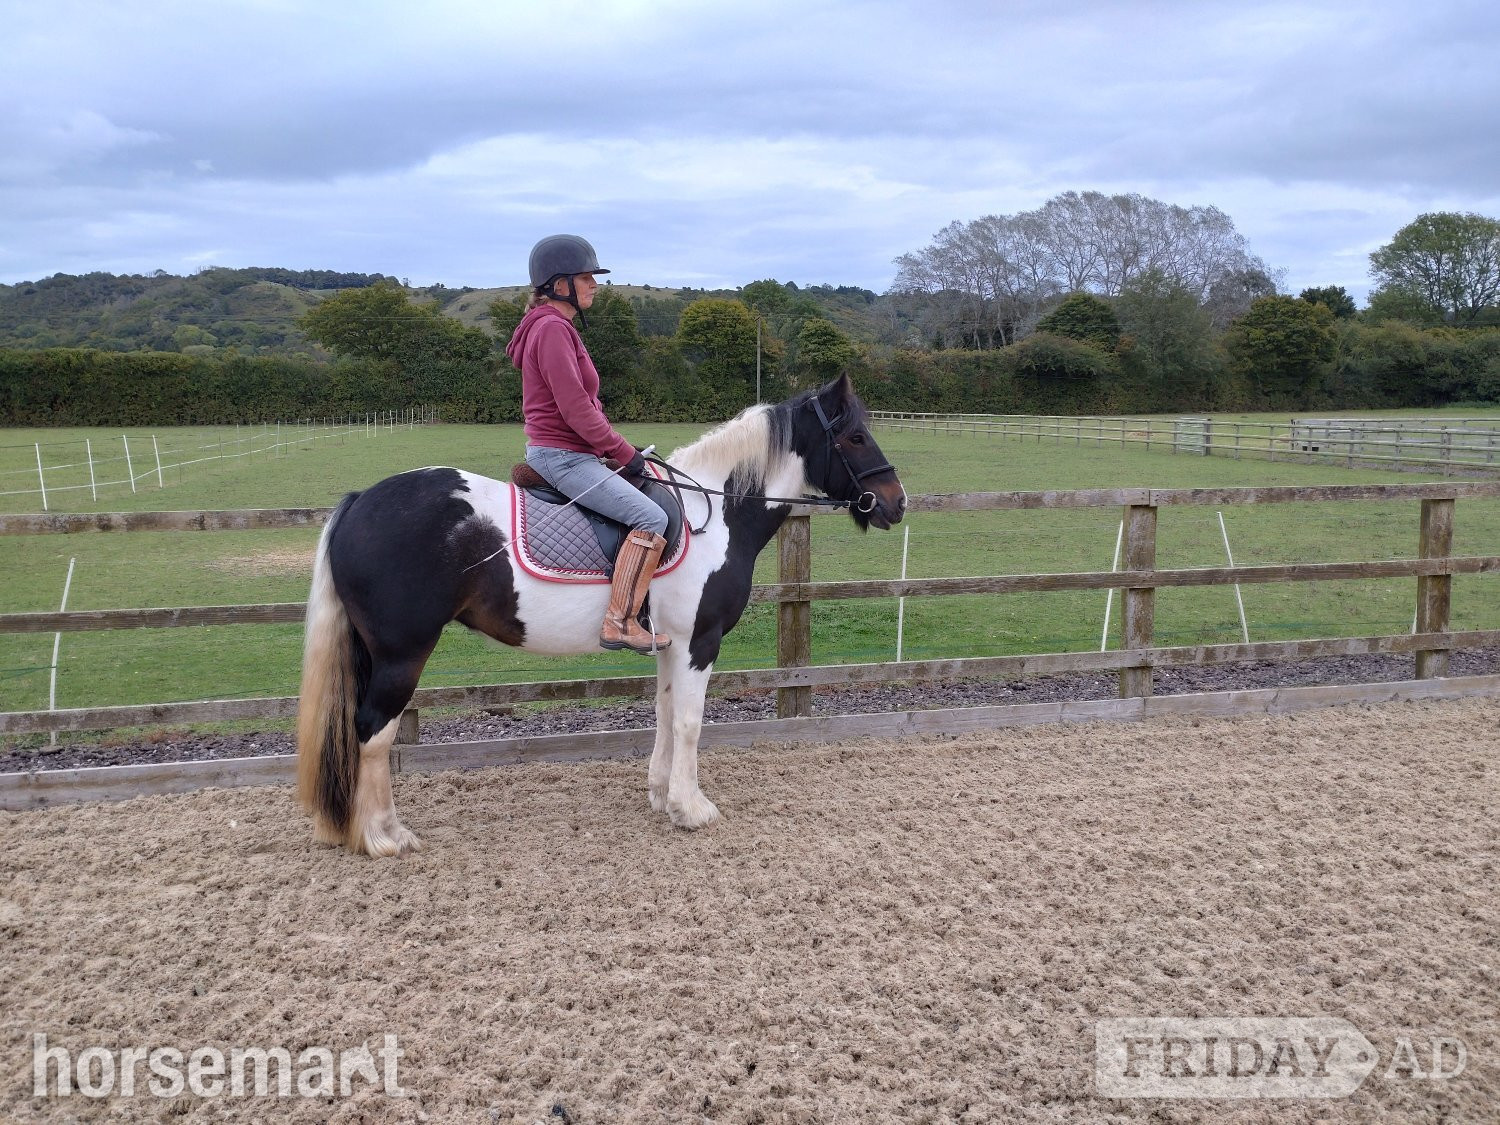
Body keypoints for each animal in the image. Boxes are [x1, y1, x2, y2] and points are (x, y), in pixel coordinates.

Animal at [295, 373, 907, 857]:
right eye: (854, 436)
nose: (896, 501)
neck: (715, 513)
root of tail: (360, 500)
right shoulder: (699, 642)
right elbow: (690, 721)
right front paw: (693, 808)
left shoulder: (669, 645)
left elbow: (665, 715)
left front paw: (663, 798)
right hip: (402, 656)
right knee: (372, 732)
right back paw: (383, 836)